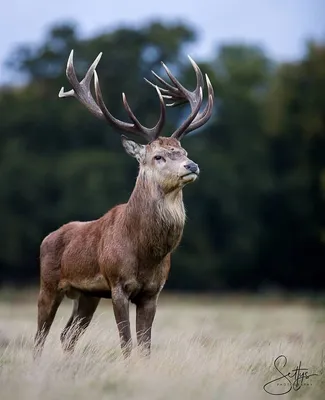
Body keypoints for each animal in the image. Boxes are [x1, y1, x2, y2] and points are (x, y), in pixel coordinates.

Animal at [34, 50, 214, 360]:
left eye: (183, 151)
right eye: (158, 157)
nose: (192, 165)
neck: (145, 252)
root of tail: (47, 238)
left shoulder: (152, 292)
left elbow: (145, 346)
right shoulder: (117, 284)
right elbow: (127, 344)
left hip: (87, 296)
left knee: (67, 335)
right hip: (48, 283)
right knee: (40, 335)